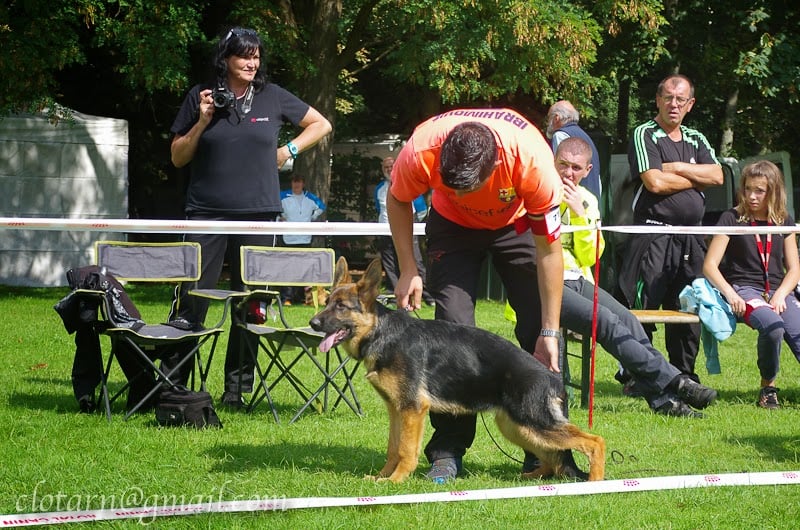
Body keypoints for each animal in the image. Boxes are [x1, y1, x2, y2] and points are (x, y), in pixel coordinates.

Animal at [310, 258, 604, 480]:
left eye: (341, 307)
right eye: (327, 303)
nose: (313, 323)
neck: (382, 333)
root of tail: (553, 379)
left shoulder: (412, 410)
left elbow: (405, 450)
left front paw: (396, 480)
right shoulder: (396, 410)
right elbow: (393, 448)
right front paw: (382, 477)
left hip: (533, 422)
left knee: (594, 442)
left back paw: (594, 483)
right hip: (518, 427)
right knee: (553, 457)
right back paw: (534, 477)